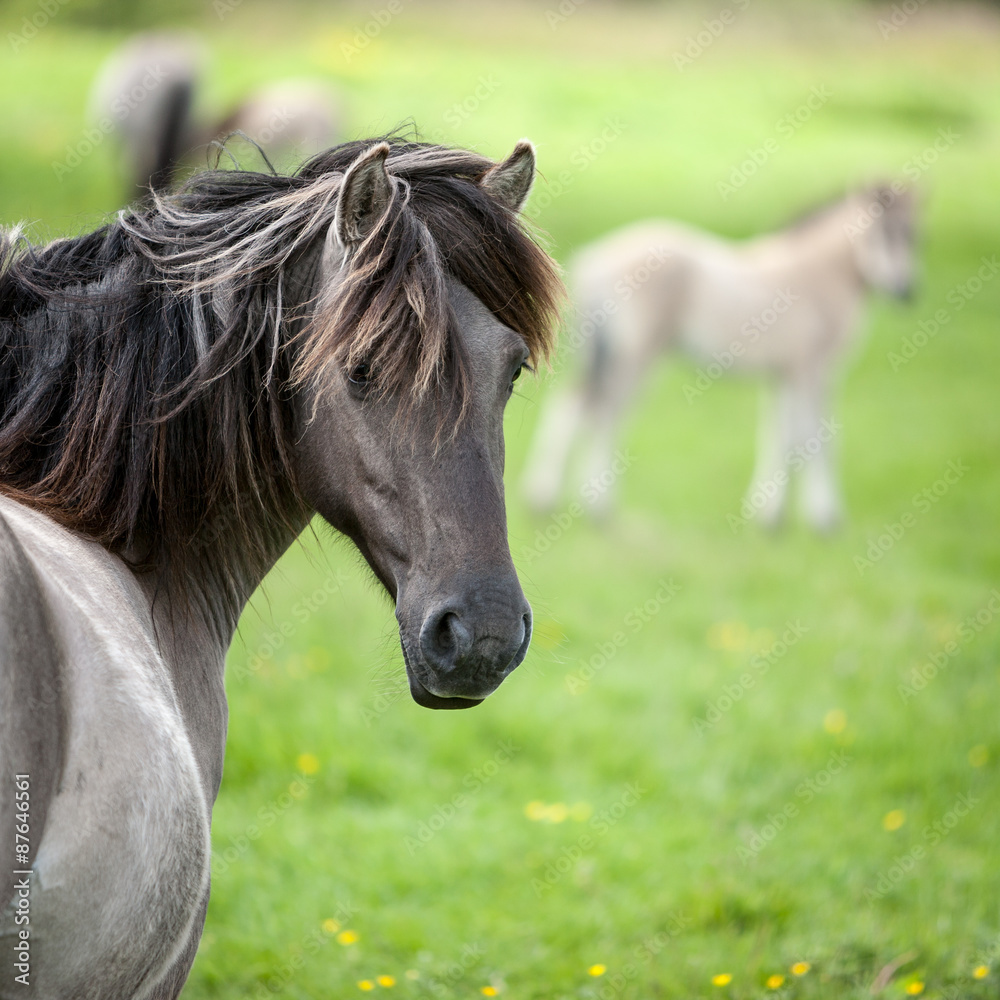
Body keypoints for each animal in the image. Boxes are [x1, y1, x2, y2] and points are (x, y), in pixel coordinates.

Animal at [521, 185, 916, 530]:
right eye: (879, 234)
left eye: (913, 236)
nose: (906, 291)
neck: (818, 275)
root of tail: (594, 259)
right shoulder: (813, 369)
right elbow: (817, 439)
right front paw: (825, 519)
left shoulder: (783, 375)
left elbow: (782, 436)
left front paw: (770, 517)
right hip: (635, 358)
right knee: (603, 415)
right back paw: (596, 508)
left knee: (576, 407)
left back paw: (547, 500)